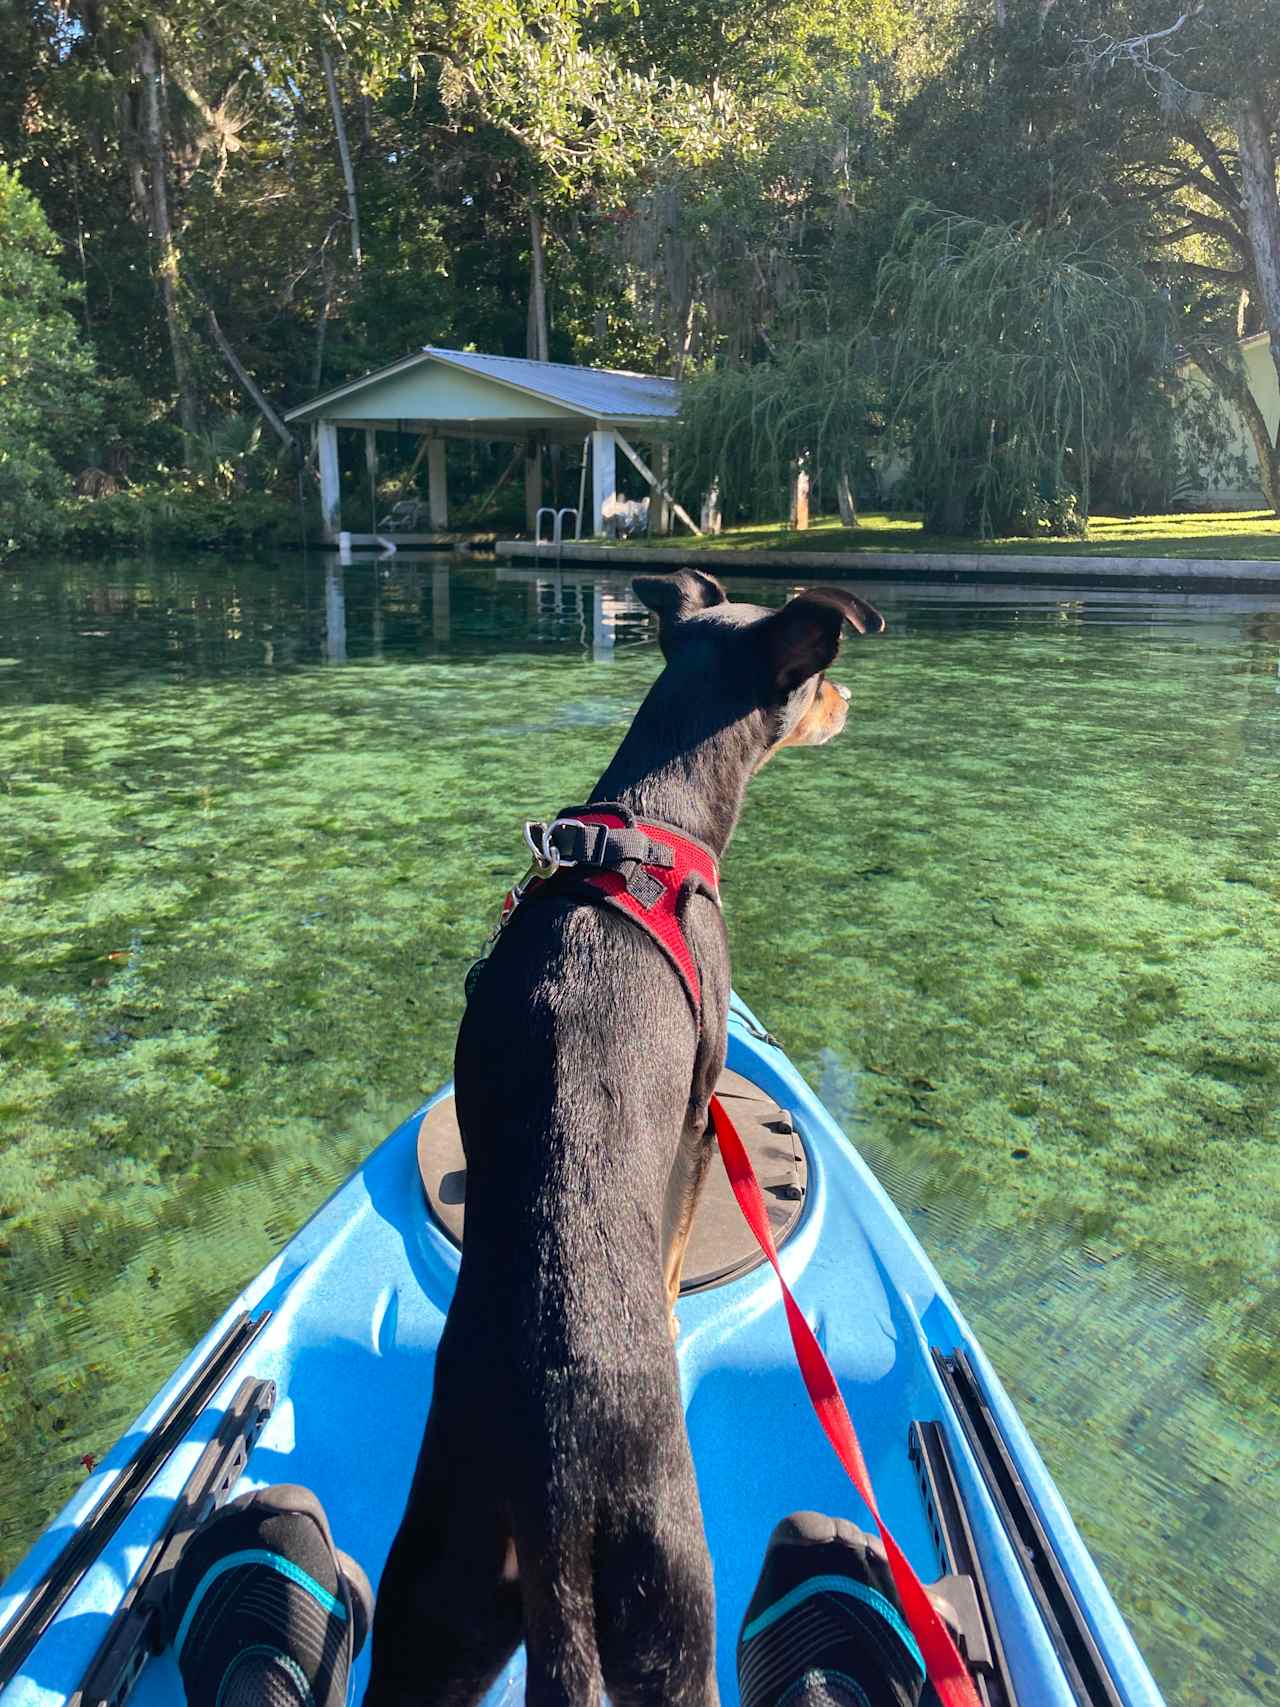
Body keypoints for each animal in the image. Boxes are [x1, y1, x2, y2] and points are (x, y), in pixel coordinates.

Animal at [365, 573, 887, 1707]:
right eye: (816, 682)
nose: (849, 703)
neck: (649, 823)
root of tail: (552, 1495)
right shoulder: (696, 1112)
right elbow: (680, 1238)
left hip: (433, 1605)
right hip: (670, 1609)